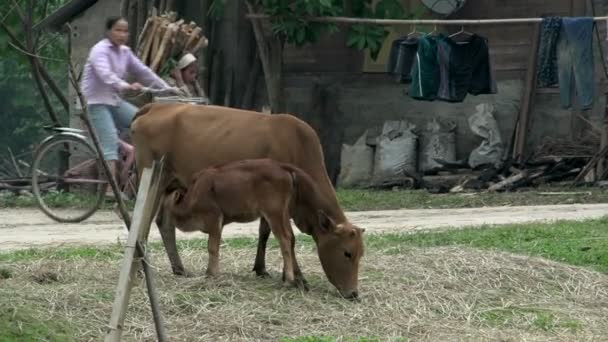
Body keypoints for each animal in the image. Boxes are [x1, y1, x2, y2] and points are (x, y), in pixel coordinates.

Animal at [129, 103, 366, 298]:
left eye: (361, 254)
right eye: (347, 253)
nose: (353, 293)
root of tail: (156, 106)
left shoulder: (271, 205)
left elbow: (265, 233)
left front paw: (262, 268)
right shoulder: (278, 206)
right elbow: (288, 239)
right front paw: (298, 278)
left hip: (171, 185)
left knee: (164, 223)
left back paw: (178, 268)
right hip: (153, 181)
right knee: (144, 224)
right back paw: (140, 269)